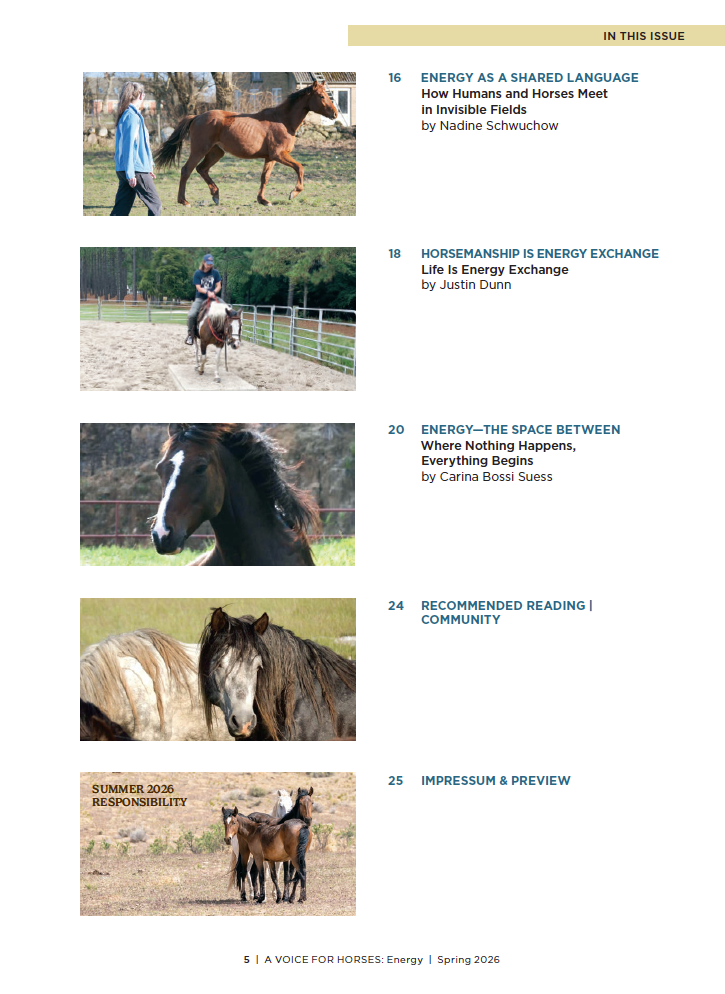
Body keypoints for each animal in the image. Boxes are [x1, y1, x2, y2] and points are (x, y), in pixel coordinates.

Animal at [155, 82, 338, 207]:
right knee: (187, 170)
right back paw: (184, 201)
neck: (283, 121)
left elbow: (265, 177)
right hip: (199, 150)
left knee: (202, 169)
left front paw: (263, 200)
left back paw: (215, 195)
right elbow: (300, 167)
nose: (335, 114)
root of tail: (197, 117)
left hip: (216, 152)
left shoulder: (270, 158)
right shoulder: (279, 155)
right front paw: (293, 193)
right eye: (322, 96)